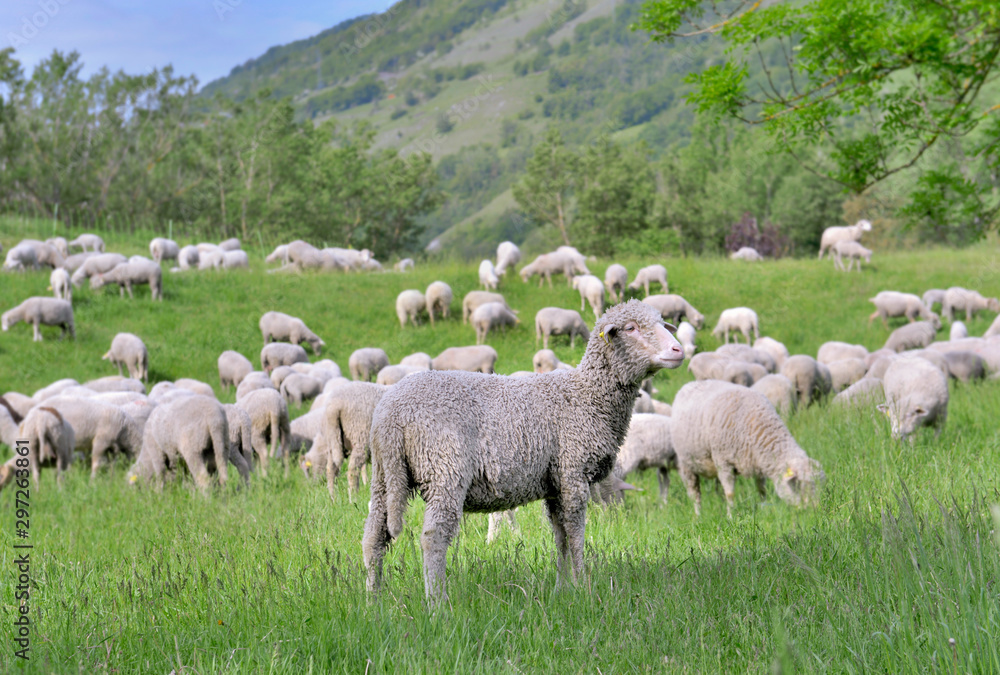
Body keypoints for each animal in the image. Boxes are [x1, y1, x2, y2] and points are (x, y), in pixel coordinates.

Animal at [362, 299, 685, 602]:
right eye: (630, 328)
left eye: (662, 323)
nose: (678, 350)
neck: (588, 395)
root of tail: (392, 414)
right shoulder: (573, 472)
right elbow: (576, 536)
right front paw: (583, 586)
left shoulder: (556, 484)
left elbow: (560, 536)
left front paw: (562, 588)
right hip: (444, 468)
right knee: (433, 537)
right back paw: (436, 602)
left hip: (385, 476)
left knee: (373, 537)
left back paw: (374, 599)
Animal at [671, 380, 824, 517]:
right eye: (800, 484)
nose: (815, 509)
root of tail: (691, 384)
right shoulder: (724, 462)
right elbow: (730, 493)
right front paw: (731, 517)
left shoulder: (758, 462)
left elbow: (762, 490)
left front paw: (763, 509)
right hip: (687, 465)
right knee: (694, 494)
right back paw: (698, 516)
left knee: (718, 490)